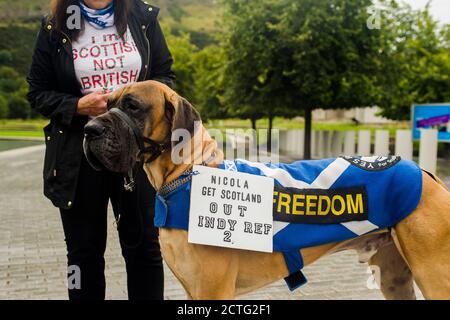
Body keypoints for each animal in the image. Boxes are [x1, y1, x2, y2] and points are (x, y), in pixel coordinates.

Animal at [83, 80, 450, 300]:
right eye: (108, 103)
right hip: (394, 277)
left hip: (433, 274)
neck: (186, 174)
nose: (89, 129)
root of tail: (426, 174)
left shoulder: (213, 291)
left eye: (133, 106)